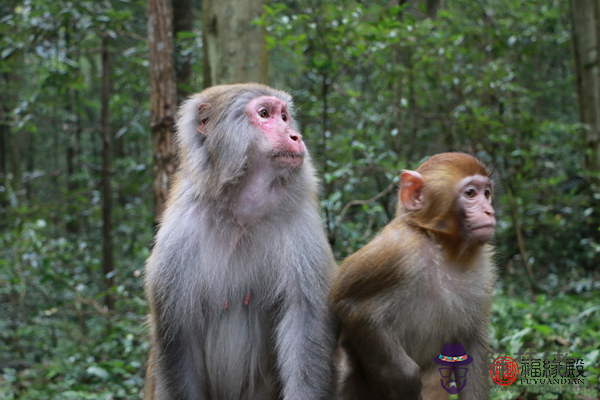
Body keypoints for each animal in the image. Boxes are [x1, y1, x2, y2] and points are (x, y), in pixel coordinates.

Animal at [144, 83, 338, 400]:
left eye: (284, 116)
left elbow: (304, 325)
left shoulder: (300, 225)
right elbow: (178, 339)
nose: (295, 136)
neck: (240, 212)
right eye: (264, 114)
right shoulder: (179, 235)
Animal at [330, 153, 494, 400]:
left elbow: (472, 345)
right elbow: (351, 305)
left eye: (487, 194)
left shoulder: (484, 271)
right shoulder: (398, 249)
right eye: (470, 193)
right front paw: (405, 380)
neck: (445, 250)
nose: (489, 211)